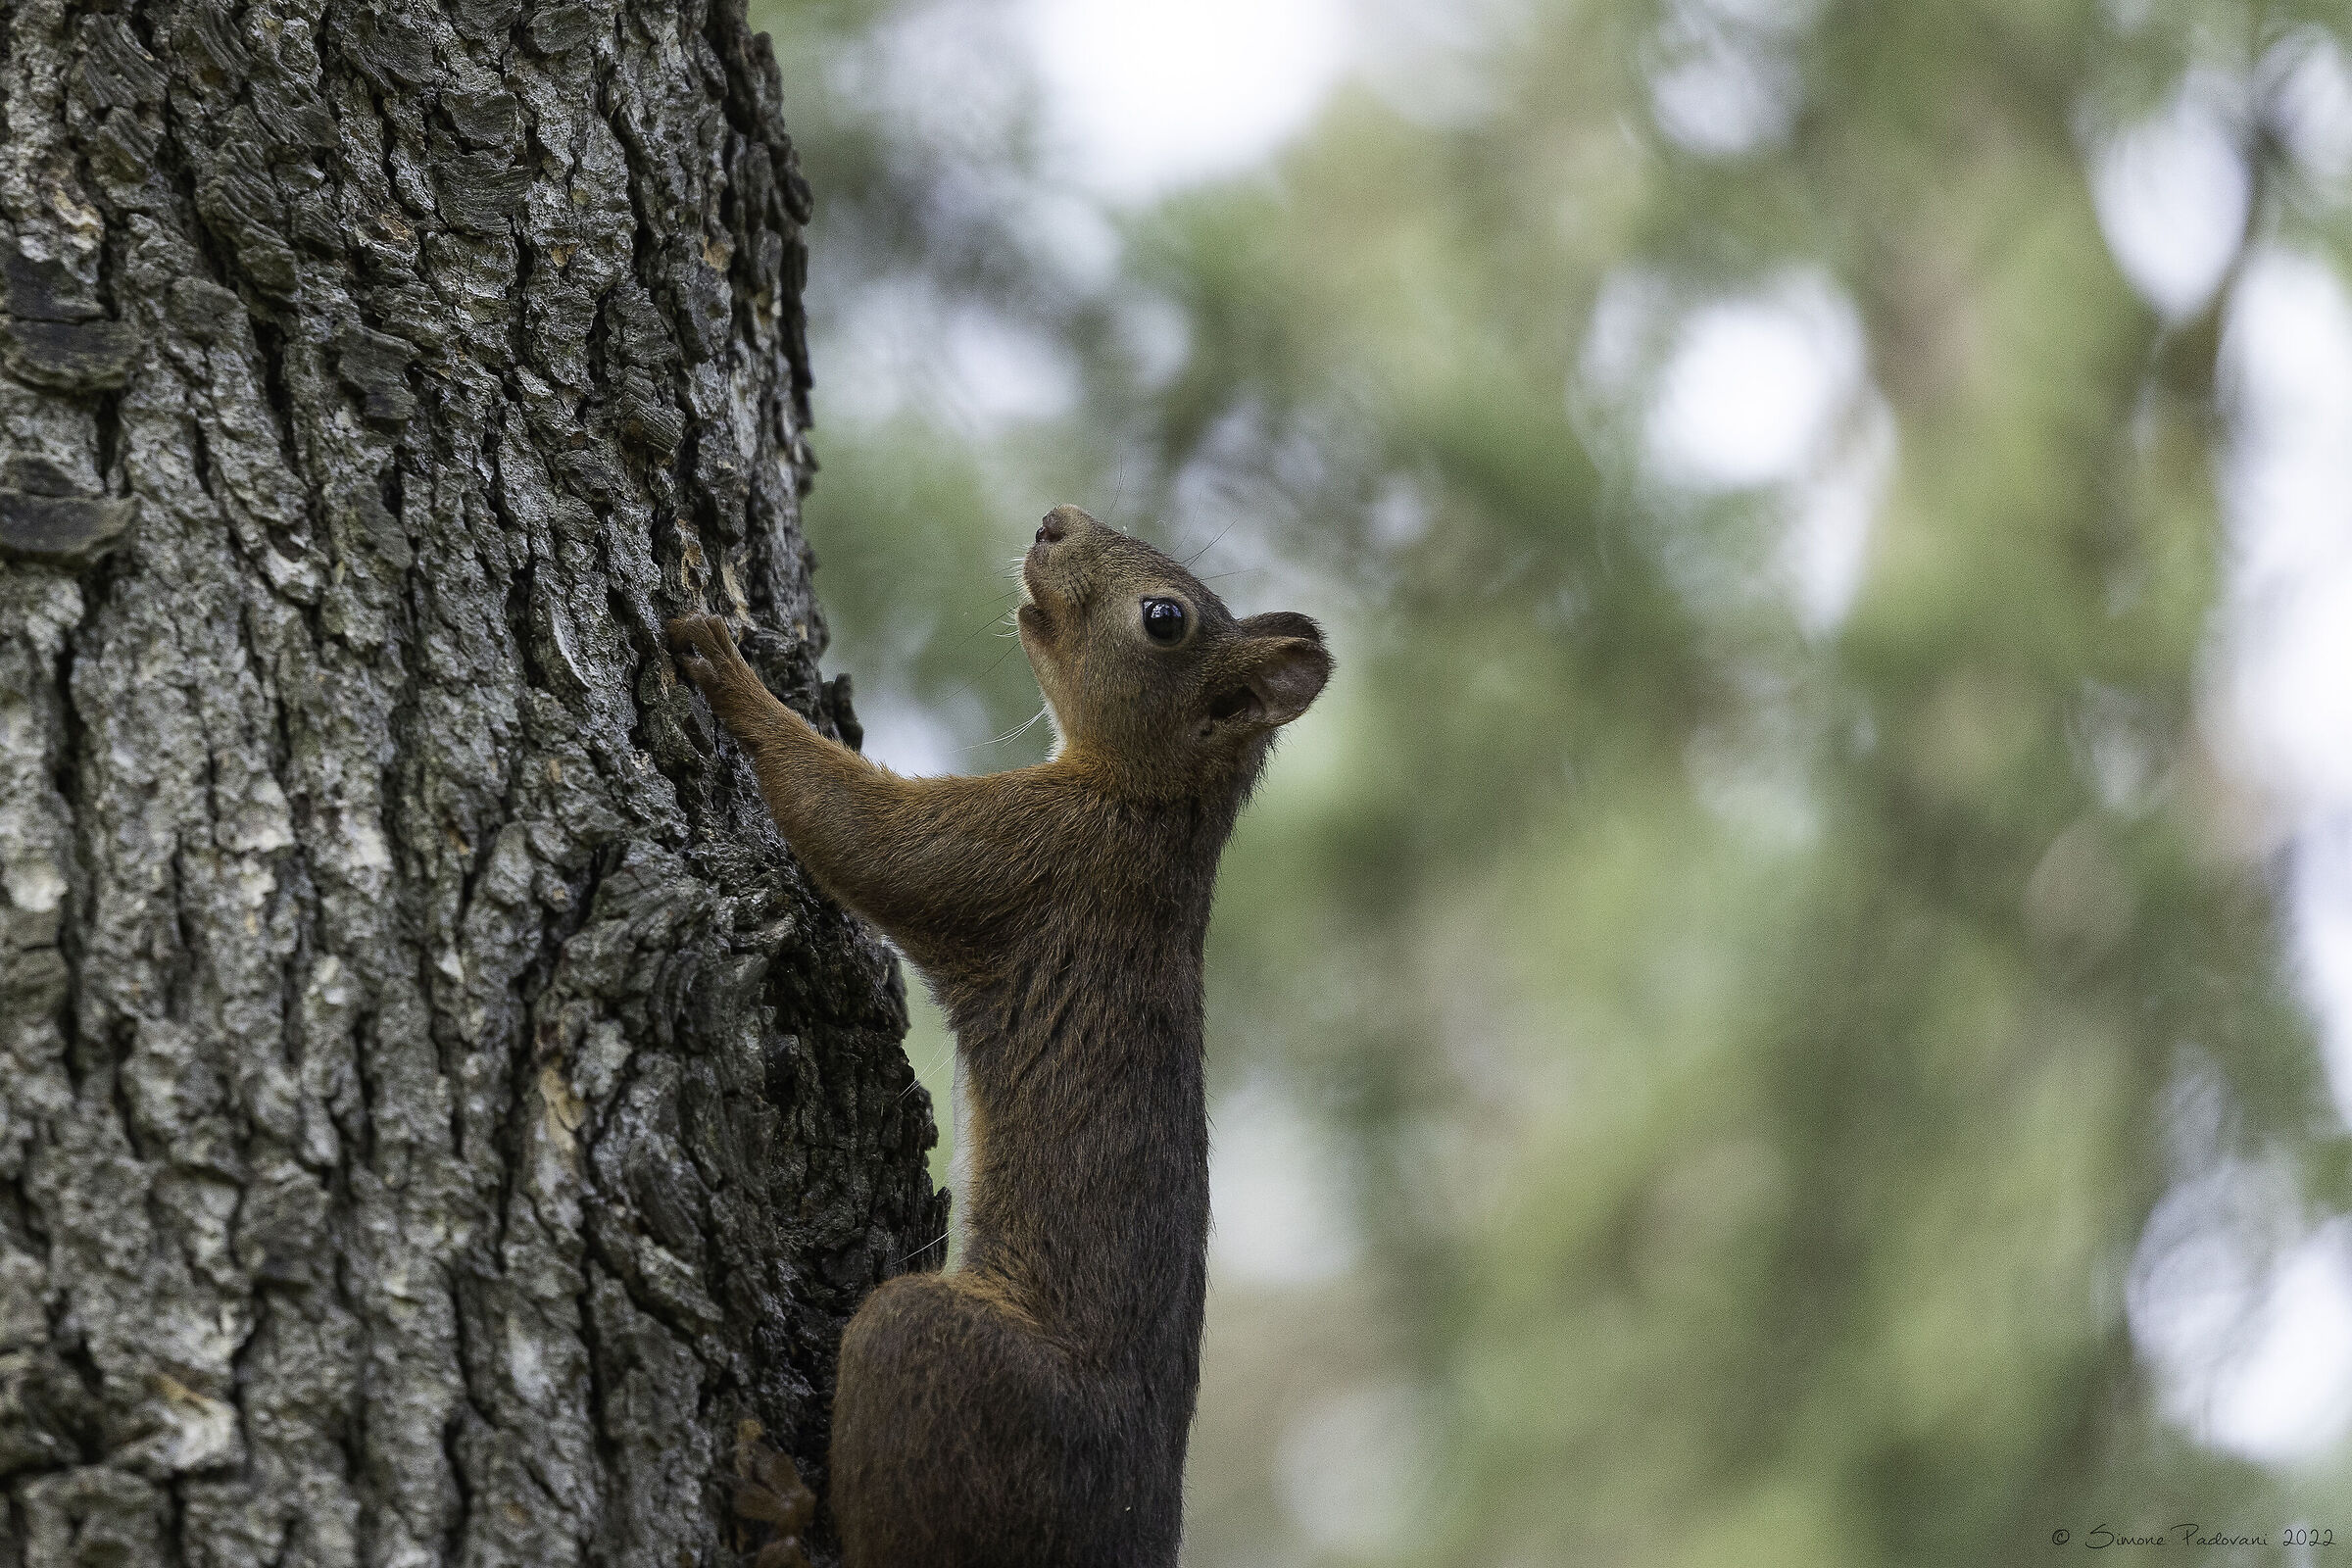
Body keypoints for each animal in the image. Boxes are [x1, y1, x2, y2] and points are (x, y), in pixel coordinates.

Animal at [668, 503, 1330, 1567]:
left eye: (1165, 618)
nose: (1056, 520)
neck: (1154, 807)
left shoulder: (1027, 861)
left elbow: (862, 831)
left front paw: (732, 676)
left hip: (943, 1358)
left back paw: (785, 1511)